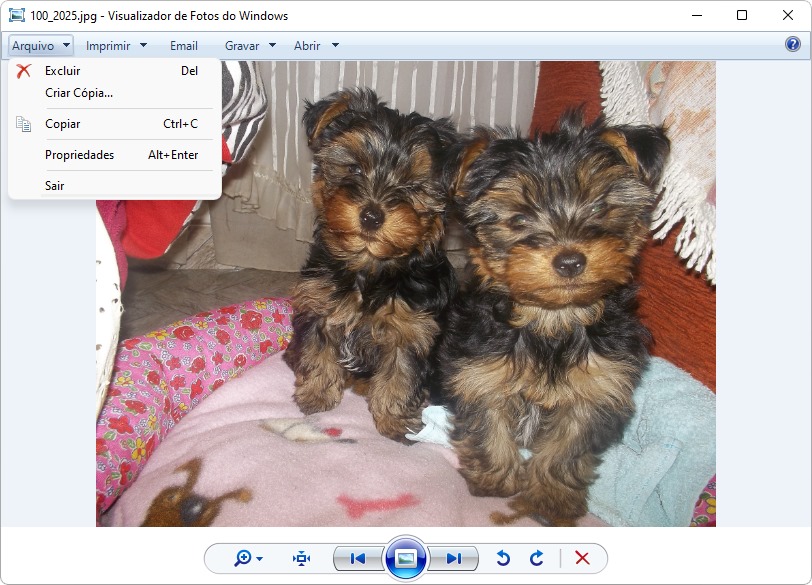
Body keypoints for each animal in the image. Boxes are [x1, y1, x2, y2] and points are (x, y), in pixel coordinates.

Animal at [283, 88, 458, 442]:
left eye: (412, 186)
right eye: (354, 169)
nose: (372, 215)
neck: (369, 265)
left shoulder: (411, 328)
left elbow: (400, 375)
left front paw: (393, 420)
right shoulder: (319, 304)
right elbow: (317, 350)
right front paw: (316, 395)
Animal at [437, 110, 670, 526]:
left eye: (599, 208)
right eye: (519, 218)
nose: (570, 260)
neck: (551, 319)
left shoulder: (597, 384)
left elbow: (567, 446)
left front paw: (550, 499)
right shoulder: (480, 370)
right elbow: (488, 421)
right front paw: (496, 480)